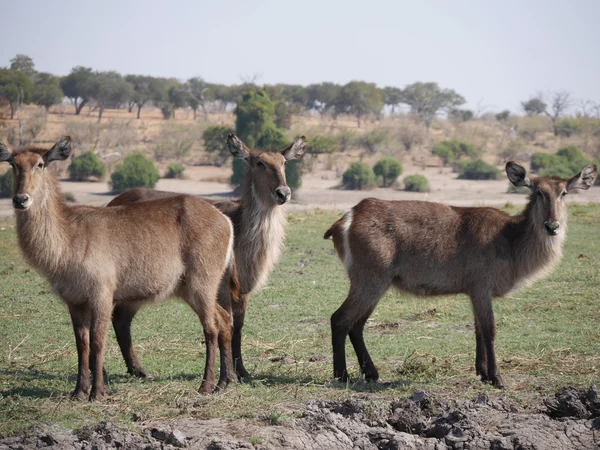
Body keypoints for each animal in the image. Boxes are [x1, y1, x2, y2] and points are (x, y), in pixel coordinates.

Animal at [0, 137, 239, 400]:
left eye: (40, 164)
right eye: (13, 164)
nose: (20, 199)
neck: (69, 235)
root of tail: (224, 219)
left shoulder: (102, 295)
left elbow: (97, 341)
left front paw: (97, 392)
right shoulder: (74, 301)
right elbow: (81, 344)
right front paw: (79, 392)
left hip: (202, 284)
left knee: (211, 326)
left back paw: (206, 385)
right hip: (190, 289)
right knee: (224, 319)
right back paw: (224, 383)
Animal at [105, 133, 308, 380]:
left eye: (284, 162)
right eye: (260, 162)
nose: (283, 193)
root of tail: (114, 200)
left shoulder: (243, 290)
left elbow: (238, 326)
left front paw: (242, 372)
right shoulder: (222, 287)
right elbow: (226, 324)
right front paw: (231, 373)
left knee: (121, 318)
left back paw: (139, 371)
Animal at [326, 161, 596, 386]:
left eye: (564, 193)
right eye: (538, 192)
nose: (552, 226)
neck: (510, 239)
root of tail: (347, 218)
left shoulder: (474, 292)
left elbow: (477, 330)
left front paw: (483, 373)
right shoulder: (481, 287)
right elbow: (489, 329)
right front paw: (497, 378)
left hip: (376, 284)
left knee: (356, 325)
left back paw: (371, 373)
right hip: (370, 280)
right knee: (340, 319)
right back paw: (342, 374)